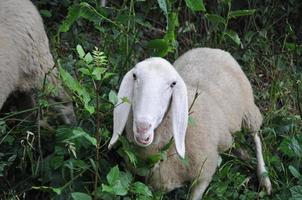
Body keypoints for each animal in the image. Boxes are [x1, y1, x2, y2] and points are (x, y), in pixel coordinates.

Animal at [109, 47, 274, 199]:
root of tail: (212, 49)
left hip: (248, 111)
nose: (143, 128)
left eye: (173, 84)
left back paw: (264, 178)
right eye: (134, 76)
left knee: (256, 135)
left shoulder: (204, 174)